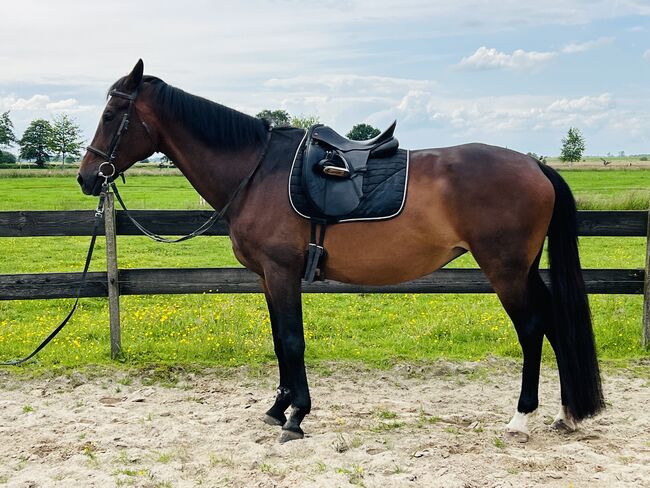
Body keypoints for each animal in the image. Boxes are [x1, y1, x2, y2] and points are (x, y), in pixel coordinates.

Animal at [77, 60, 604, 442]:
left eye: (110, 116)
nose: (86, 177)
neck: (257, 171)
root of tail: (535, 165)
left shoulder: (282, 271)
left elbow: (292, 340)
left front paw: (296, 418)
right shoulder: (267, 277)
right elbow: (279, 341)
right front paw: (277, 408)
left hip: (505, 270)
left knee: (532, 329)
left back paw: (521, 419)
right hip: (524, 269)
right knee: (553, 322)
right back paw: (565, 414)